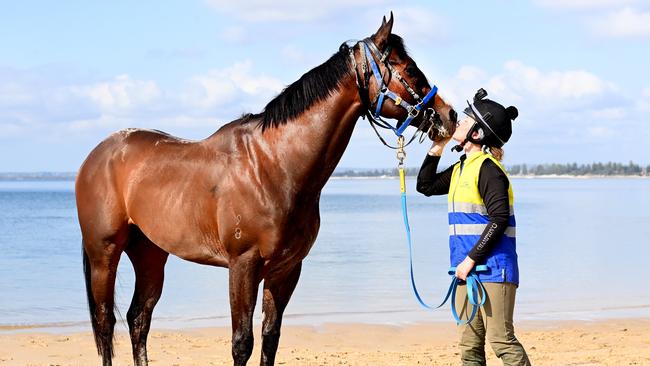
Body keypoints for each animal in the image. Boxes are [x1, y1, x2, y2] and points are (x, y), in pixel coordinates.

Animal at [76, 14, 456, 366]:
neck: (274, 165)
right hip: (104, 252)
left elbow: (270, 337)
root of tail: (98, 154)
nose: (448, 116)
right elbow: (242, 342)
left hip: (150, 253)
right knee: (106, 323)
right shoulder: (243, 265)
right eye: (409, 69)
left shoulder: (285, 269)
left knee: (138, 318)